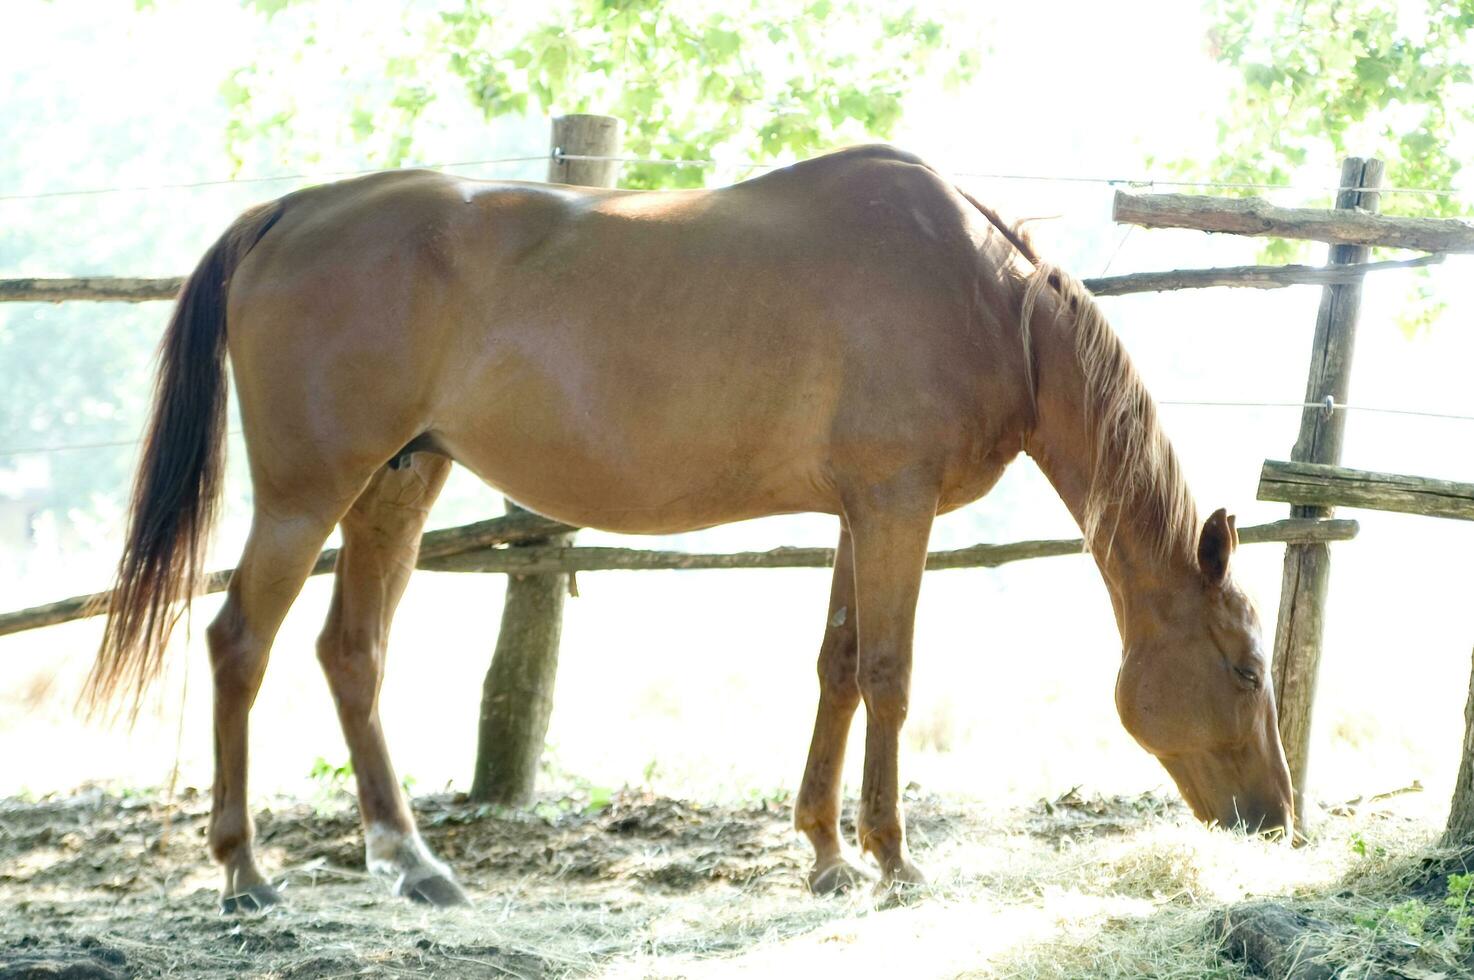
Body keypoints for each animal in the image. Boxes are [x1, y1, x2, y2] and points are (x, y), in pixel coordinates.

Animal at [89, 143, 1291, 907]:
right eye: (1243, 668)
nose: (1276, 819)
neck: (993, 298)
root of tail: (289, 212)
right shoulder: (895, 507)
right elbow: (890, 672)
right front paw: (892, 859)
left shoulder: (859, 512)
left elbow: (838, 666)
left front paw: (824, 854)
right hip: (310, 493)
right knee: (239, 643)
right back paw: (245, 873)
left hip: (400, 481)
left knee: (352, 653)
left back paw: (413, 863)